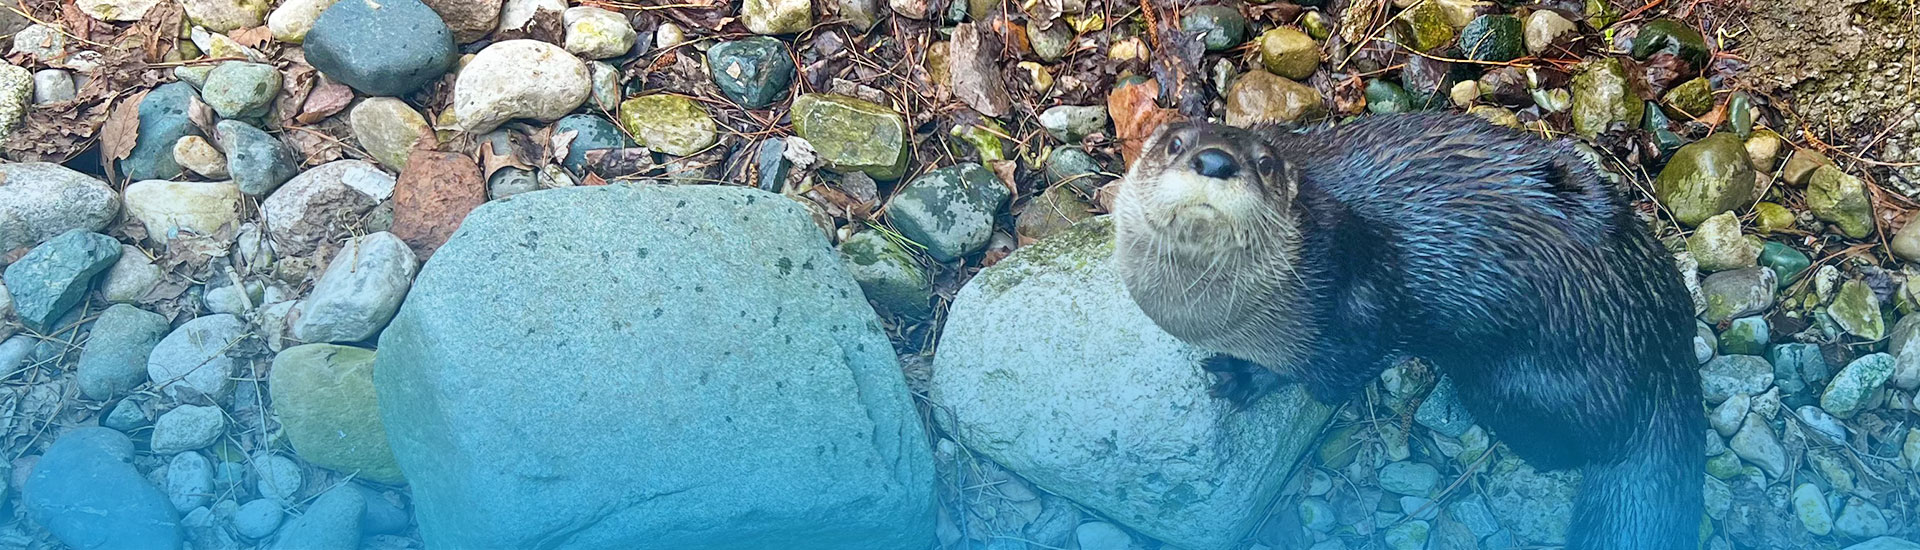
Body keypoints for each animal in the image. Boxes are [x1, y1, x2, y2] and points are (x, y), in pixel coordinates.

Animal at [1112, 114, 1705, 550]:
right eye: (1175, 143)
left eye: (1265, 164)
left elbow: (1325, 377)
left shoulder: (1357, 323)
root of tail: (1663, 358)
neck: (1213, 313)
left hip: (1521, 384)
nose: (1215, 160)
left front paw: (1245, 376)